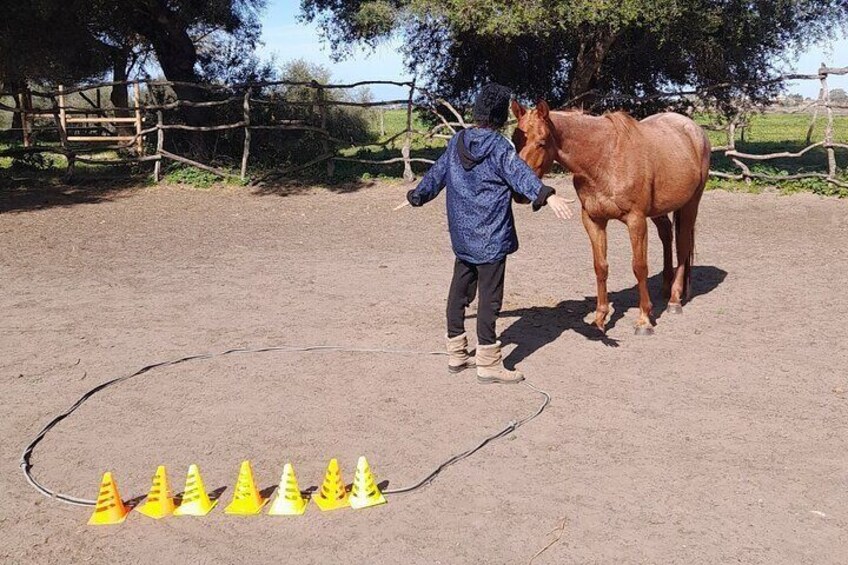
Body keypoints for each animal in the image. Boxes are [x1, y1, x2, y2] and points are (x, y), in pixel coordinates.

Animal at [512, 101, 712, 332]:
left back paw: (674, 300)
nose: (518, 194)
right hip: (659, 210)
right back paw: (665, 288)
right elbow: (600, 266)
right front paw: (600, 317)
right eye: (515, 140)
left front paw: (644, 320)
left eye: (542, 142)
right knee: (666, 235)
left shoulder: (636, 220)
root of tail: (694, 130)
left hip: (691, 203)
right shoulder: (594, 220)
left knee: (683, 245)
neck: (604, 158)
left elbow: (639, 267)